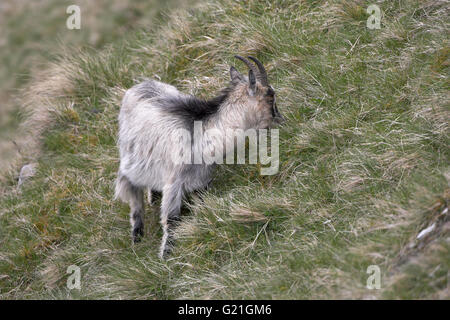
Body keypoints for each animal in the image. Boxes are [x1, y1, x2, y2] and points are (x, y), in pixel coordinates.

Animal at [114, 55, 284, 258]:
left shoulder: (201, 180)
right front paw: (166, 255)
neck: (202, 133)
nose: (281, 121)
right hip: (129, 161)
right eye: (270, 97)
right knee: (134, 199)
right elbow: (171, 219)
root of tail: (138, 86)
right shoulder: (174, 182)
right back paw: (137, 236)